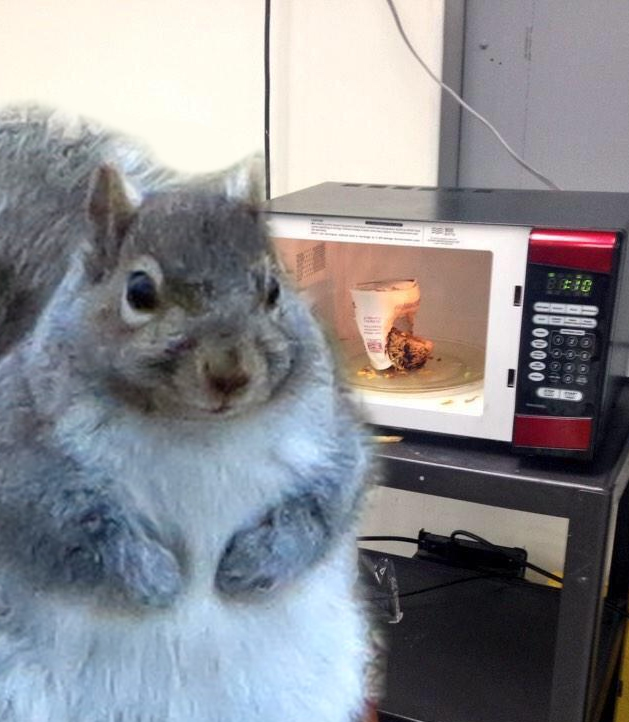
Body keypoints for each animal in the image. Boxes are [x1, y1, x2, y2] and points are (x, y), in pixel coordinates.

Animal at [0, 107, 370, 720]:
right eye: (139, 291)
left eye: (273, 288)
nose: (230, 373)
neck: (198, 428)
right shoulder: (21, 455)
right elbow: (64, 528)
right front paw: (157, 581)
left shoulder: (332, 439)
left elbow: (328, 503)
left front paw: (254, 564)